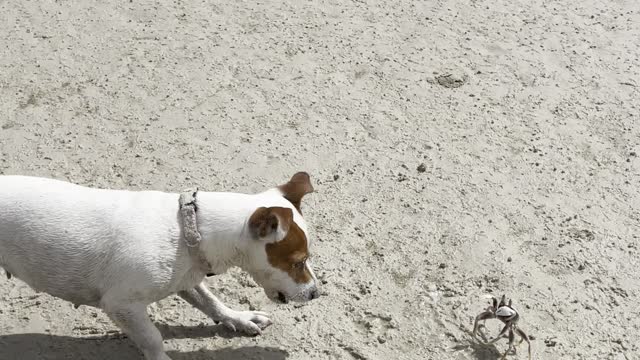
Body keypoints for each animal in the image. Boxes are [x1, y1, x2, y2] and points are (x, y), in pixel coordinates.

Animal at [0, 173, 318, 358]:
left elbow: (211, 302)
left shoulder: (187, 278)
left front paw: (238, 318)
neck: (189, 228)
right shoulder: (121, 305)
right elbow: (152, 339)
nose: (316, 293)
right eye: (299, 262)